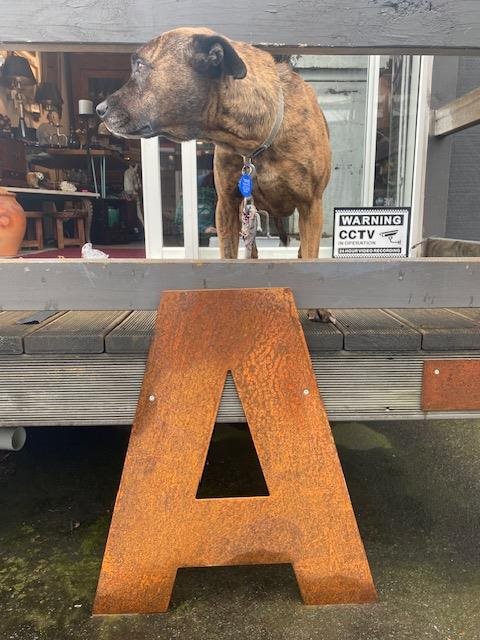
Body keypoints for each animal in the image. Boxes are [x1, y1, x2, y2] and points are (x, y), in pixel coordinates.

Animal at [96, 27, 332, 321]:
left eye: (139, 65)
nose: (99, 109)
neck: (255, 139)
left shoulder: (311, 205)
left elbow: (311, 255)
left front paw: (317, 305)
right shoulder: (228, 205)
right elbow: (228, 254)